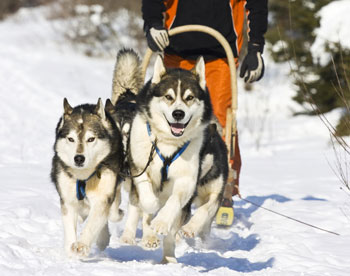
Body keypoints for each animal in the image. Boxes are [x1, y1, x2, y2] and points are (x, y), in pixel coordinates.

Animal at [51, 98, 124, 258]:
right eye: (71, 139)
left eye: (91, 139)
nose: (79, 158)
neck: (83, 176)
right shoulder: (68, 199)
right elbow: (70, 227)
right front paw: (70, 250)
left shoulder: (103, 196)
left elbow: (94, 222)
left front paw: (82, 245)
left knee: (112, 213)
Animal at [119, 53, 230, 264]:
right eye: (168, 96)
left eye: (190, 97)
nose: (178, 113)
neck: (169, 144)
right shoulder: (140, 168)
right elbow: (147, 200)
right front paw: (152, 212)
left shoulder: (190, 182)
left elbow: (181, 204)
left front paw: (167, 223)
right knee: (139, 209)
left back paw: (169, 255)